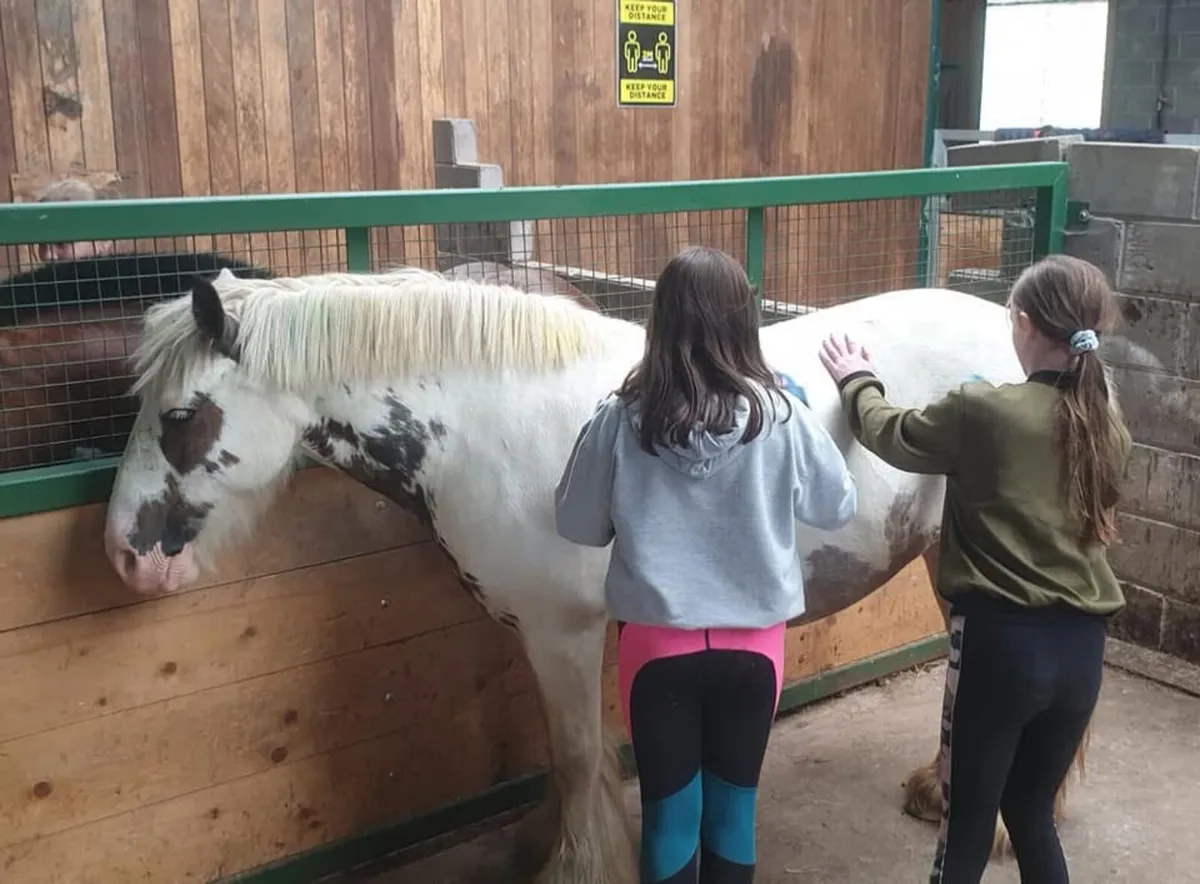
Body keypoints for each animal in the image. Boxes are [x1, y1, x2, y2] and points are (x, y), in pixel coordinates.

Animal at [98, 265, 1105, 882]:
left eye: (181, 415)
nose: (123, 555)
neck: (490, 422)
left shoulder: (565, 632)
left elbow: (581, 751)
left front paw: (576, 863)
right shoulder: (541, 633)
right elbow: (559, 749)